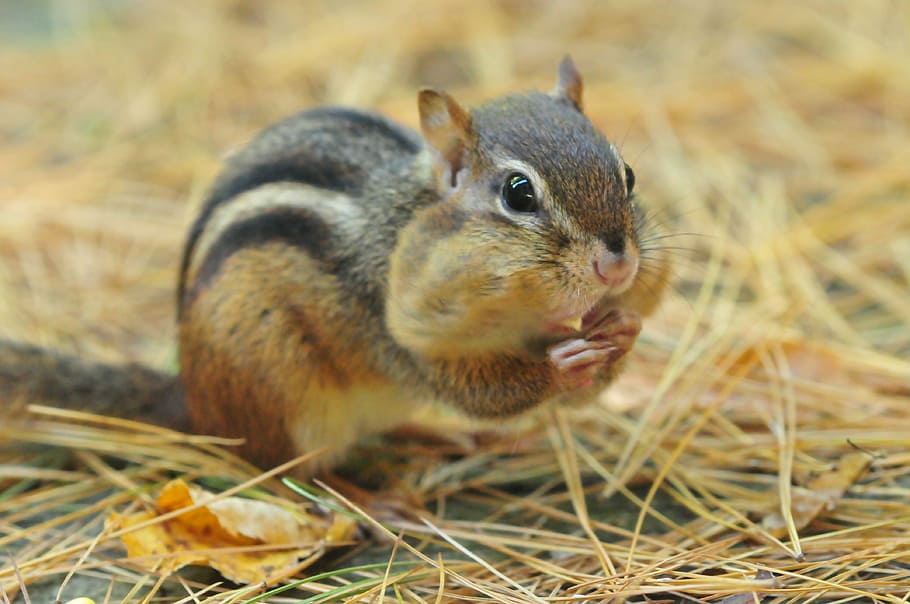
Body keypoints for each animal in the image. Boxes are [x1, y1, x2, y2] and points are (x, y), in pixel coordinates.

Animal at [1, 57, 669, 476]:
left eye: (629, 174)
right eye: (518, 194)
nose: (617, 263)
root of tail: (191, 396)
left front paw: (623, 330)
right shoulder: (395, 325)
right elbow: (477, 389)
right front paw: (563, 364)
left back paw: (436, 435)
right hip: (283, 389)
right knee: (286, 470)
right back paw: (373, 501)